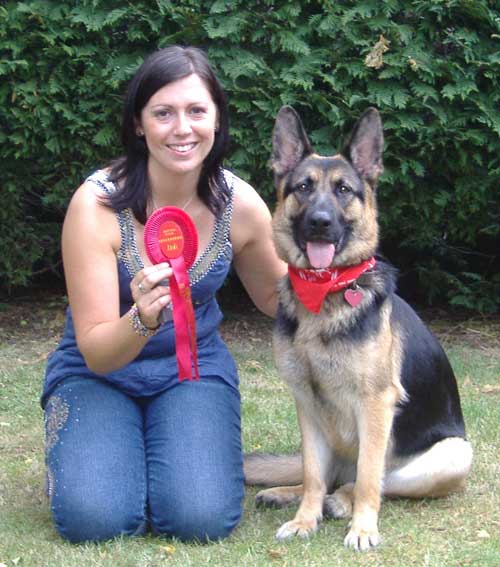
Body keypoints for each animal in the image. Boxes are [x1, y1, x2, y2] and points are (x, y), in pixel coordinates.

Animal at [245, 105, 472, 552]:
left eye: (344, 190)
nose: (320, 222)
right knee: (326, 476)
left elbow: (370, 478)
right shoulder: (307, 404)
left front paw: (363, 528)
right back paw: (290, 493)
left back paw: (342, 502)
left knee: (376, 480)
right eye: (303, 187)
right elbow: (313, 473)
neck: (325, 293)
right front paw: (305, 519)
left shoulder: (375, 404)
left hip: (453, 454)